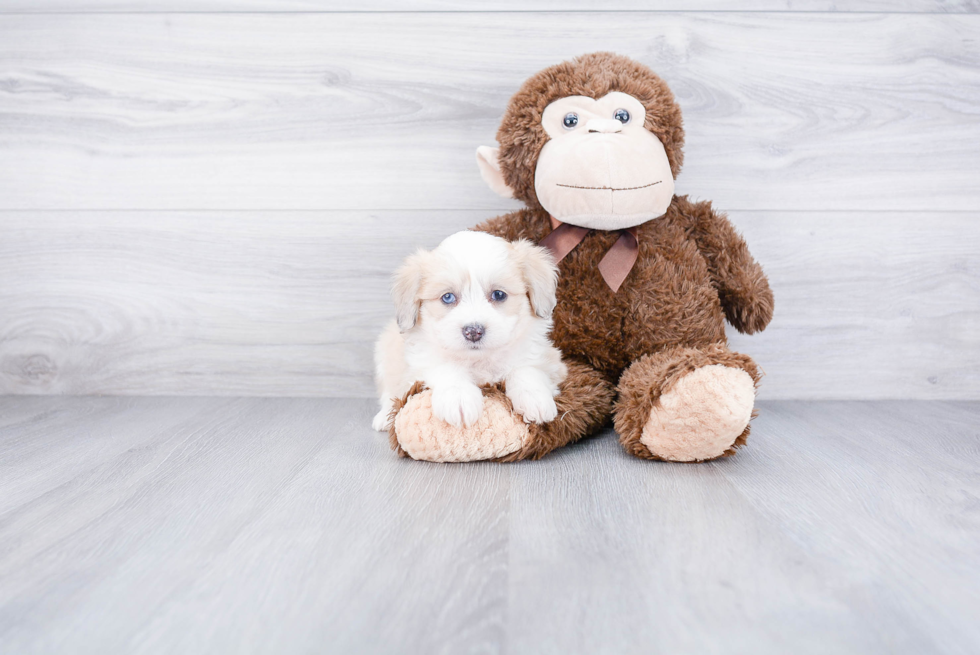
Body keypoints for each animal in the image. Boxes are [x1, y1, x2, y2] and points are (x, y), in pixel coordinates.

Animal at [372, 231, 568, 430]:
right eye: (448, 297)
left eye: (499, 294)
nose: (473, 331)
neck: (479, 361)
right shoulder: (421, 362)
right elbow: (446, 368)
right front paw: (458, 397)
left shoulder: (548, 359)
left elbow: (526, 368)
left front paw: (534, 397)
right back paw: (384, 418)